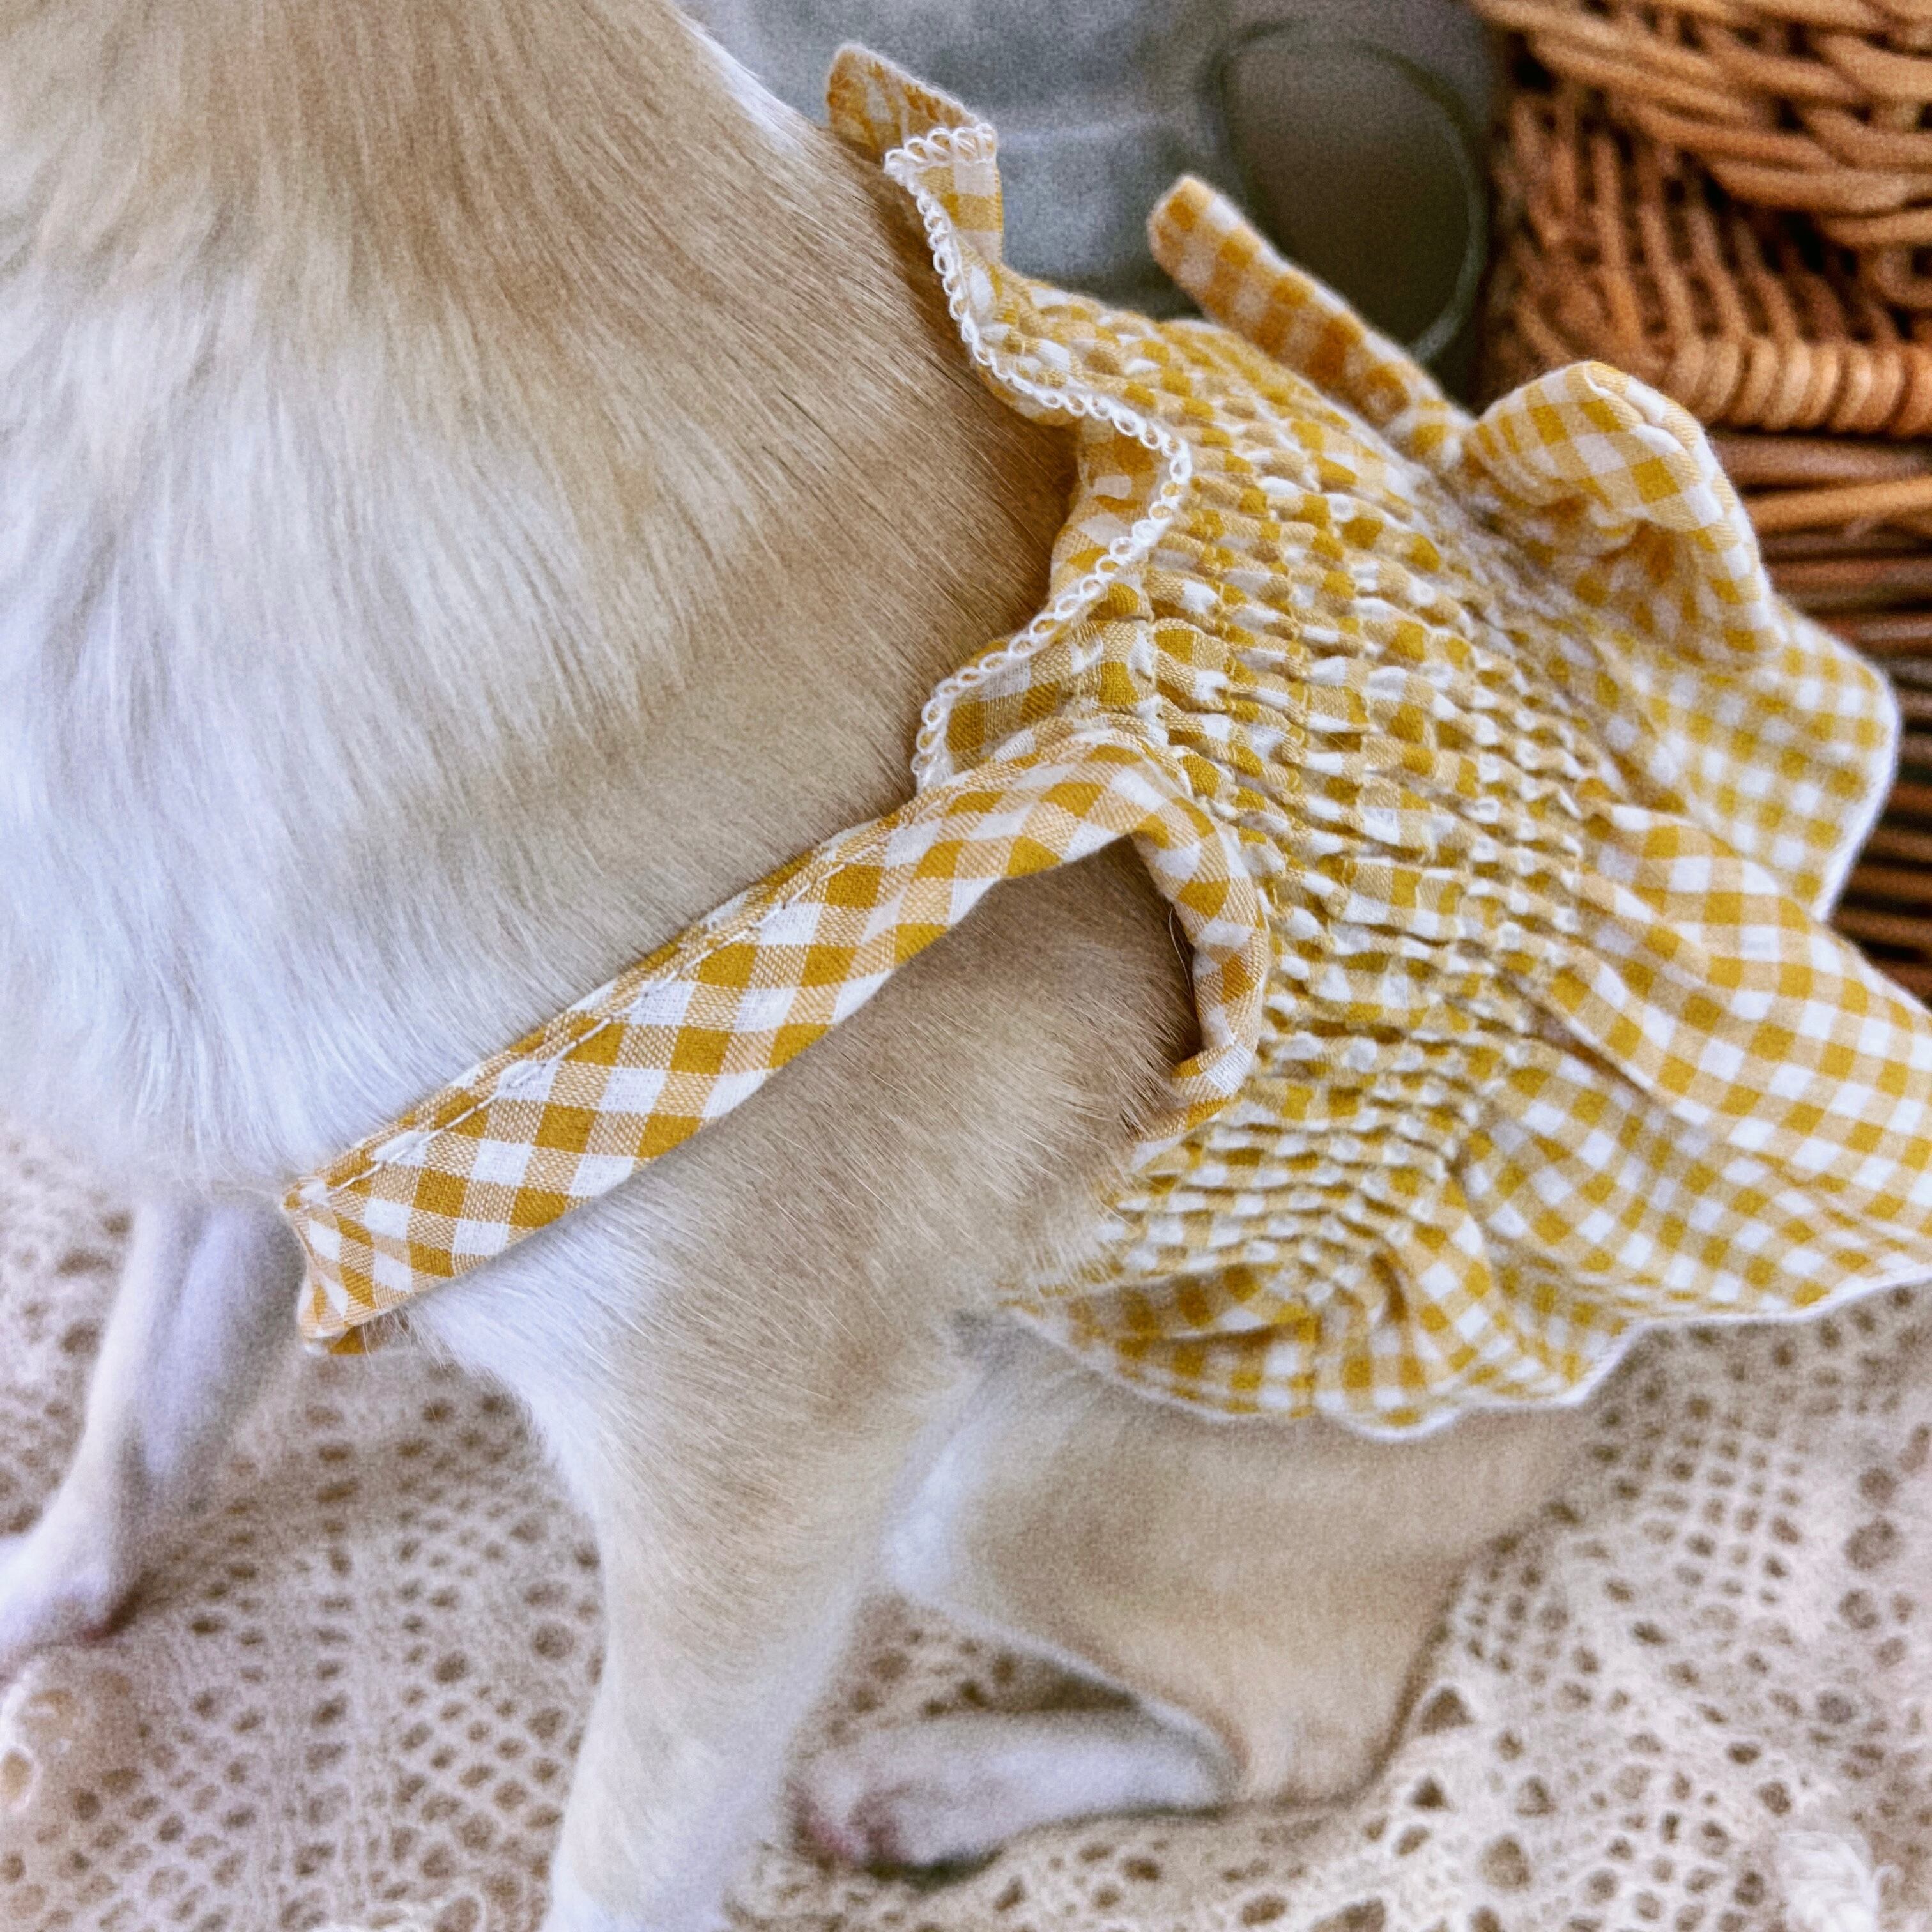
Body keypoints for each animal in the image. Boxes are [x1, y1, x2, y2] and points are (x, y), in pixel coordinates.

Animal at [0, 1, 1602, 1924]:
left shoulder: (754, 1503)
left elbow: (624, 1865)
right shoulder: (250, 1159)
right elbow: (139, 1421)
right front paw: (40, 1590)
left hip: (987, 1474)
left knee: (1318, 1729)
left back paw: (948, 1779)